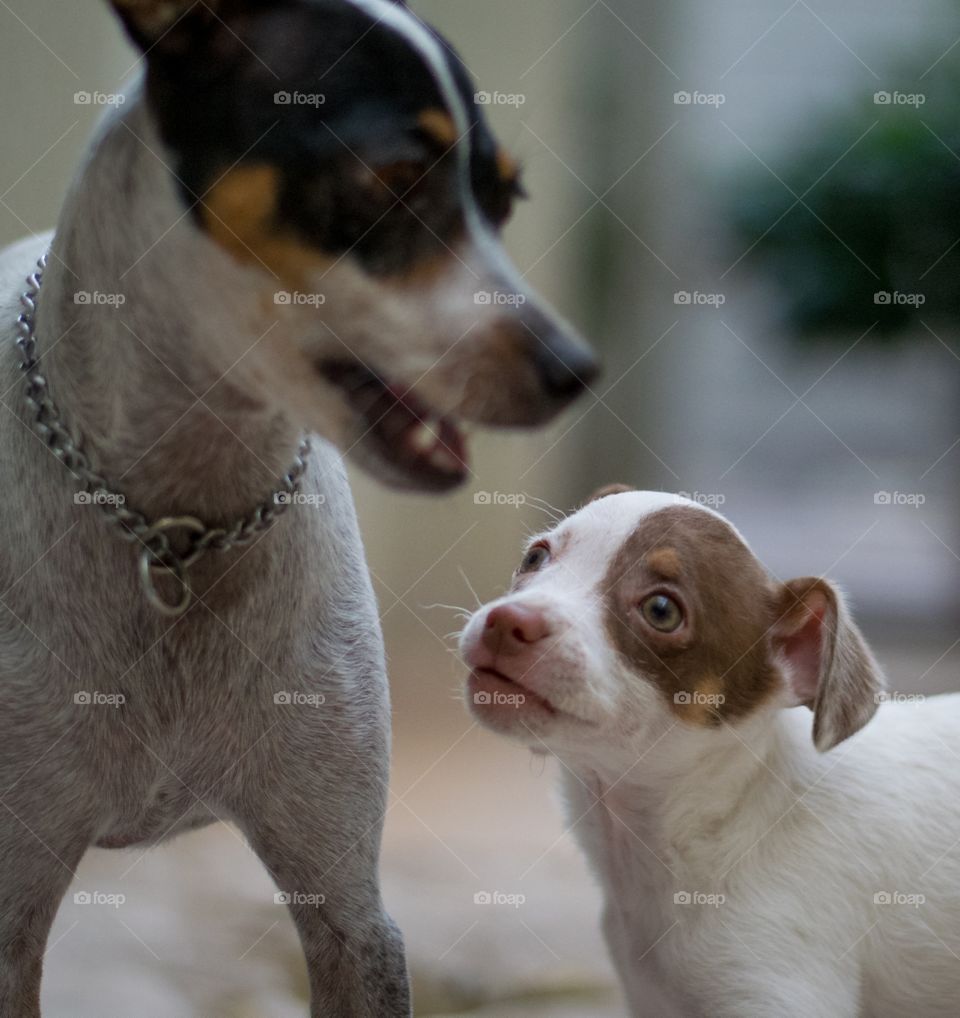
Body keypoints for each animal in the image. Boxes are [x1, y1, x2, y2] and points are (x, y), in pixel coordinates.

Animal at [0, 1, 598, 1018]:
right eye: (391, 180)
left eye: (505, 203)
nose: (574, 370)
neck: (179, 523)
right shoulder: (11, 906)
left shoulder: (348, 905)